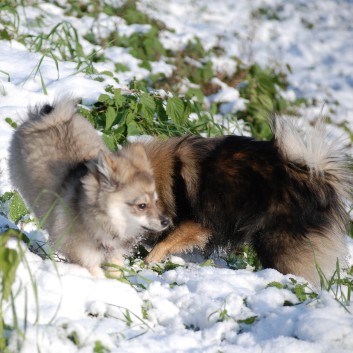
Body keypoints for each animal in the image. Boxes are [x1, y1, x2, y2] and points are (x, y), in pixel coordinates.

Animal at [8, 100, 168, 276]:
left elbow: (115, 272)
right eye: (142, 206)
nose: (166, 221)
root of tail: (50, 117)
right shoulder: (85, 259)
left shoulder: (114, 255)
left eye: (156, 202)